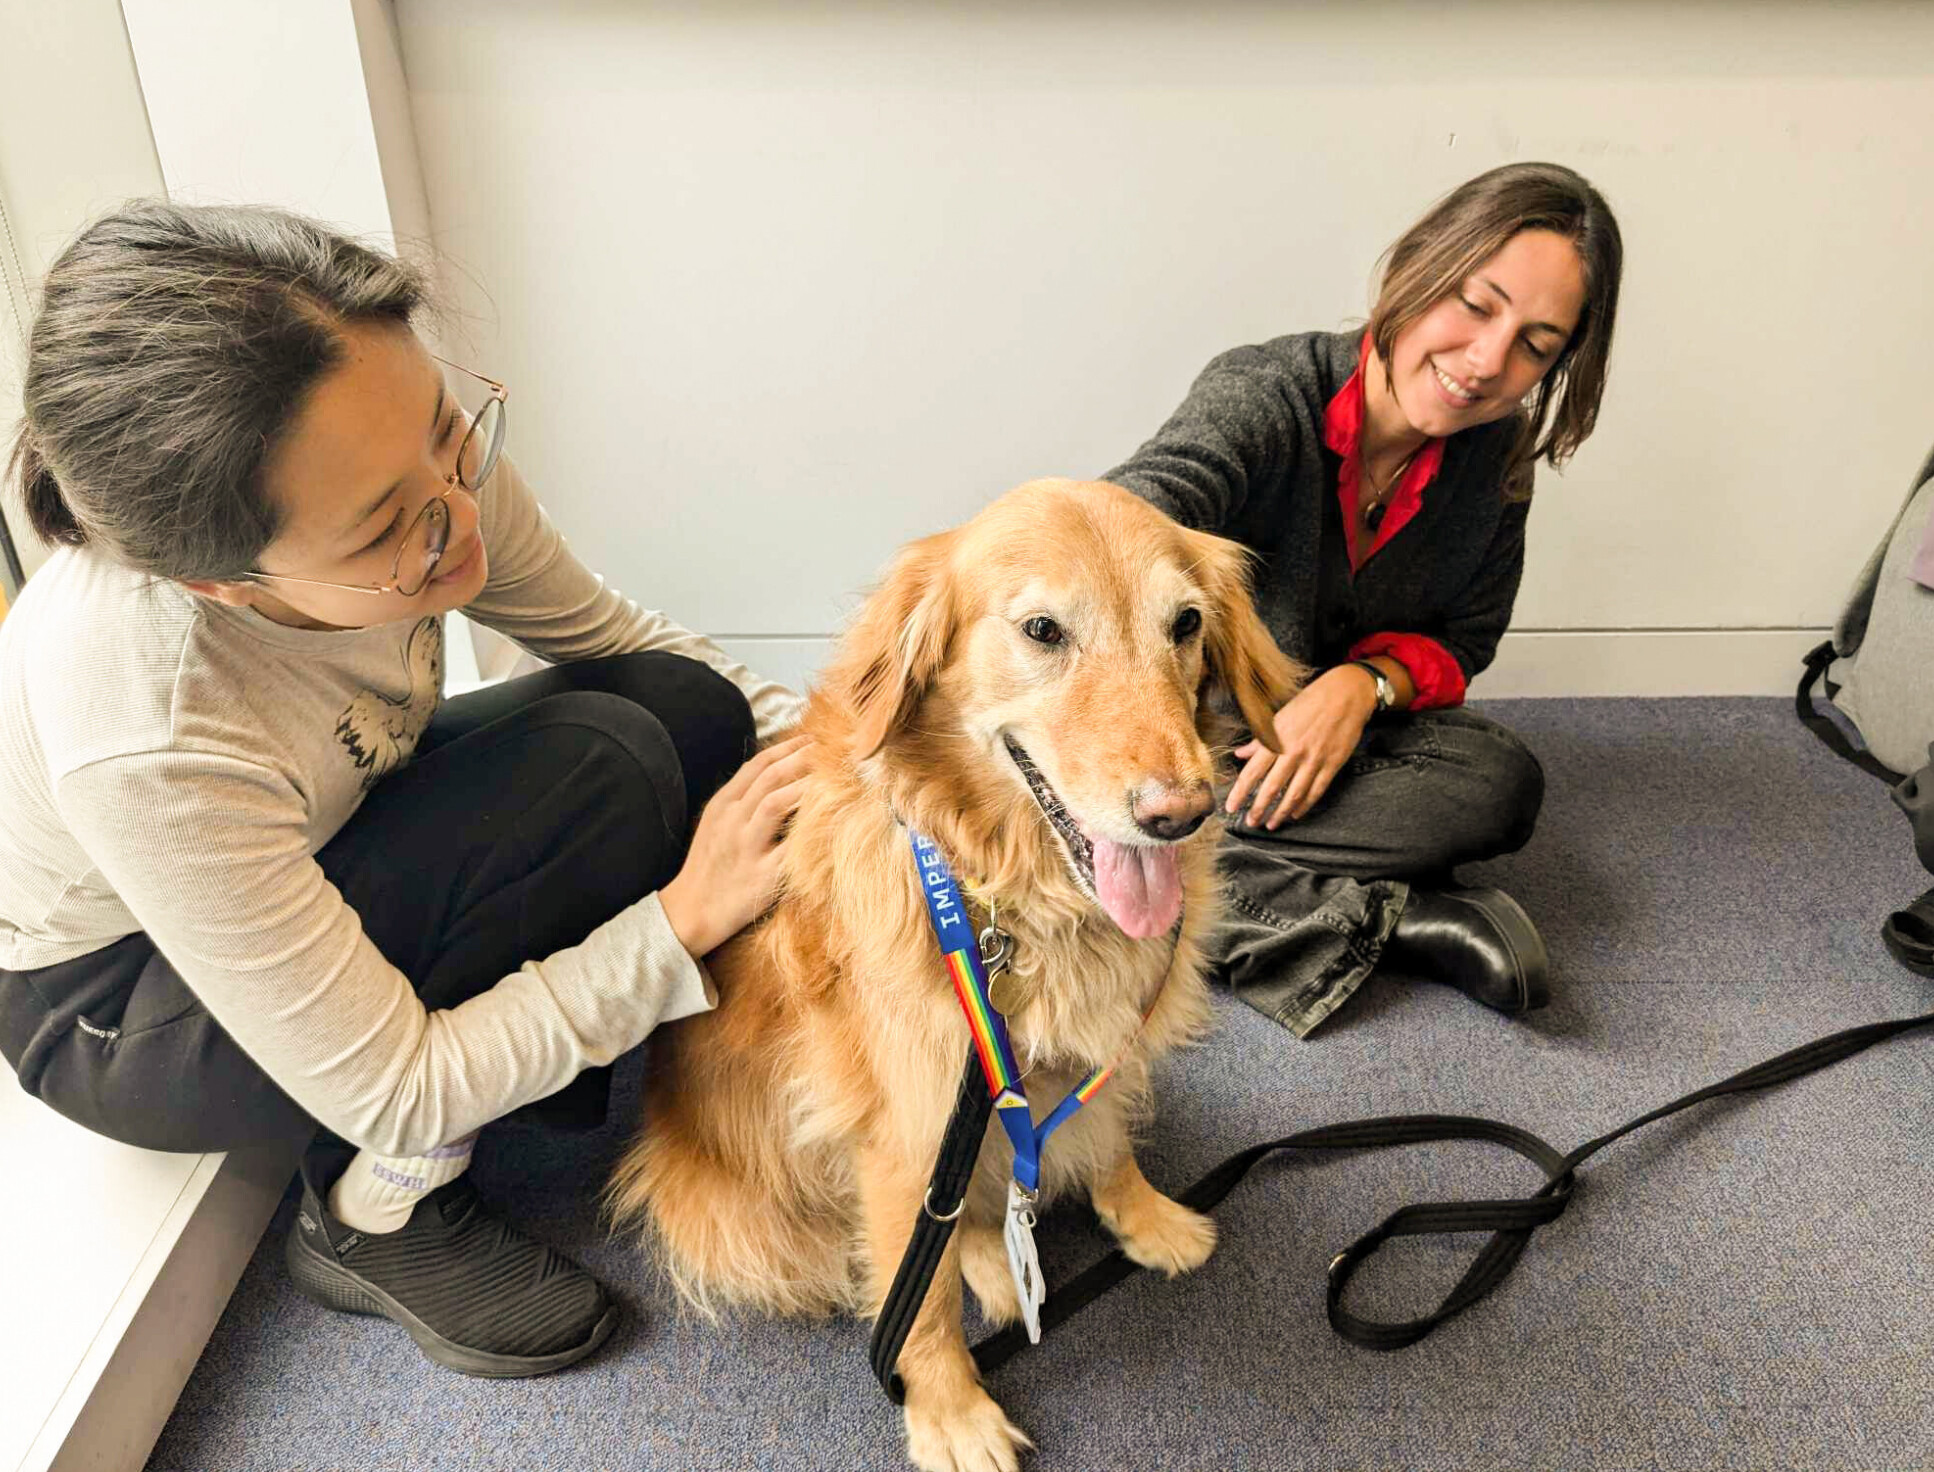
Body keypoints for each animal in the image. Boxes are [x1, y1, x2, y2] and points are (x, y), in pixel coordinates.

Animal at [603, 475, 1299, 1462]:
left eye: (1187, 622)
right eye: (1042, 629)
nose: (1179, 814)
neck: (1010, 899)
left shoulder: (1099, 1048)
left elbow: (1110, 1137)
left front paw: (1145, 1214)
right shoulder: (906, 1124)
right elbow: (920, 1295)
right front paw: (951, 1412)